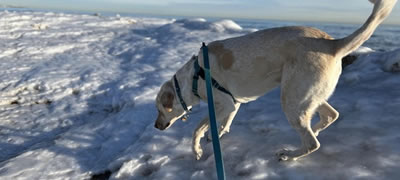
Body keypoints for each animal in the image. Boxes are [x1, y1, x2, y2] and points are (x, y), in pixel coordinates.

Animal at [154, 0, 396, 160]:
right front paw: (217, 135)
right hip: (306, 97)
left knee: (312, 143)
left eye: (159, 109)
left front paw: (196, 150)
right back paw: (314, 130)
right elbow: (225, 123)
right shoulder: (232, 104)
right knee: (330, 116)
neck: (194, 77)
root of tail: (332, 44)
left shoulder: (223, 103)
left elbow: (197, 128)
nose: (156, 126)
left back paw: (290, 154)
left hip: (292, 100)